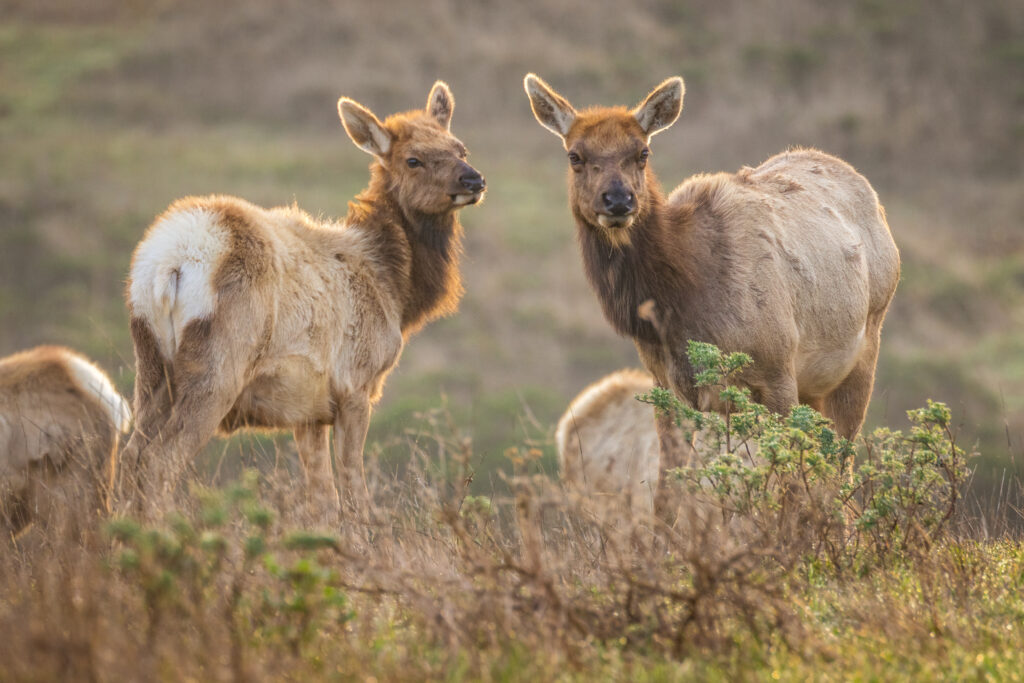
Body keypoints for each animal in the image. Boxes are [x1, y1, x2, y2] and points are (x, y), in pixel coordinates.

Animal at [117, 82, 485, 520]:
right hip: (218, 366)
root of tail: (171, 263)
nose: (474, 179)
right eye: (413, 159)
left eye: (460, 148)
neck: (395, 287)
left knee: (129, 455)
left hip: (150, 364)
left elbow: (323, 501)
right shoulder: (356, 383)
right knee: (159, 461)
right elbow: (355, 494)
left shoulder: (308, 408)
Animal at [524, 73, 901, 511]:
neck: (685, 303)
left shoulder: (777, 369)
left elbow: (790, 487)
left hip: (864, 345)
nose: (618, 199)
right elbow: (666, 494)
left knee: (840, 468)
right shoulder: (668, 388)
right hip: (815, 386)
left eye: (642, 152)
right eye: (576, 155)